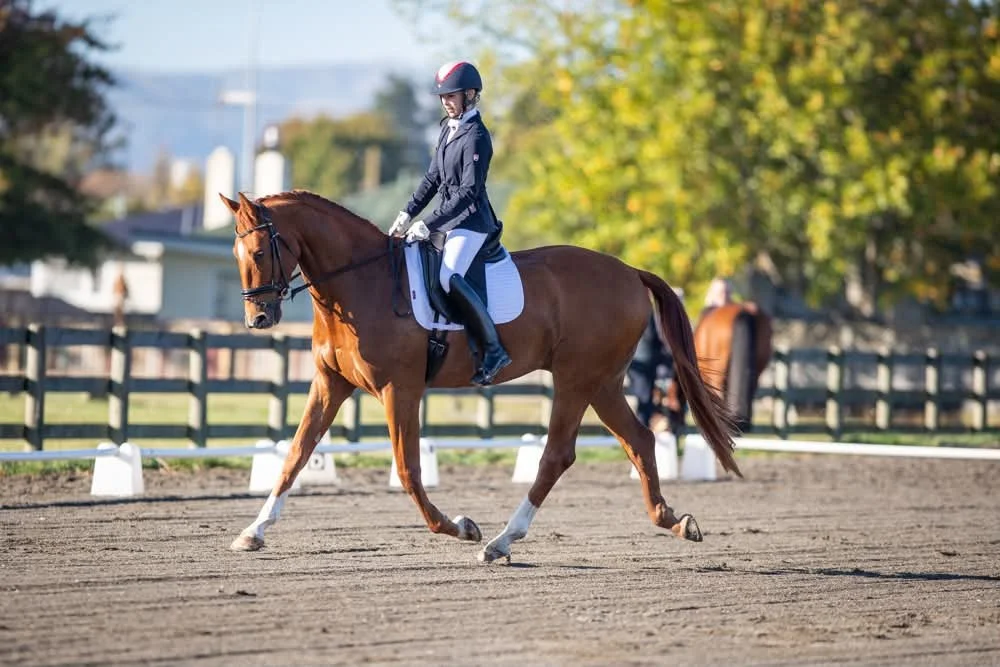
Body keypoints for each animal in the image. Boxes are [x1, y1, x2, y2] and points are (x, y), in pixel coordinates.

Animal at [223, 190, 740, 563]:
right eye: (235, 252)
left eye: (259, 251)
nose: (258, 319)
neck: (359, 282)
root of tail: (629, 271)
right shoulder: (331, 383)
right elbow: (295, 455)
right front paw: (253, 531)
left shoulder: (400, 389)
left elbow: (408, 469)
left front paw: (460, 527)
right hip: (604, 383)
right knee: (639, 440)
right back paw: (673, 521)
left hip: (576, 380)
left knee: (556, 455)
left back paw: (500, 541)